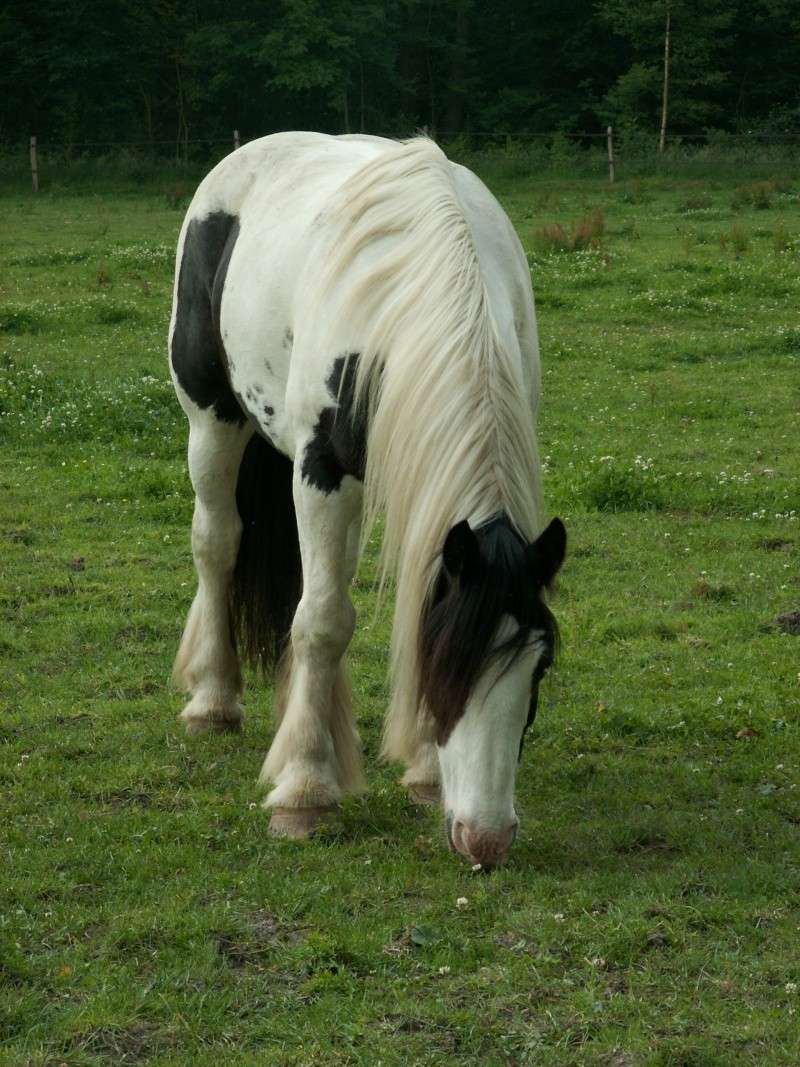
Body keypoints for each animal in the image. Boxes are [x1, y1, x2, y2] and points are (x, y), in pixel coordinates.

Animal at [167, 131, 571, 866]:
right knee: (217, 543)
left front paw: (424, 773)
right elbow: (324, 621)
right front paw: (304, 791)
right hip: (212, 419)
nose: (487, 839)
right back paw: (214, 701)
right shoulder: (321, 471)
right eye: (447, 663)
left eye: (540, 667)